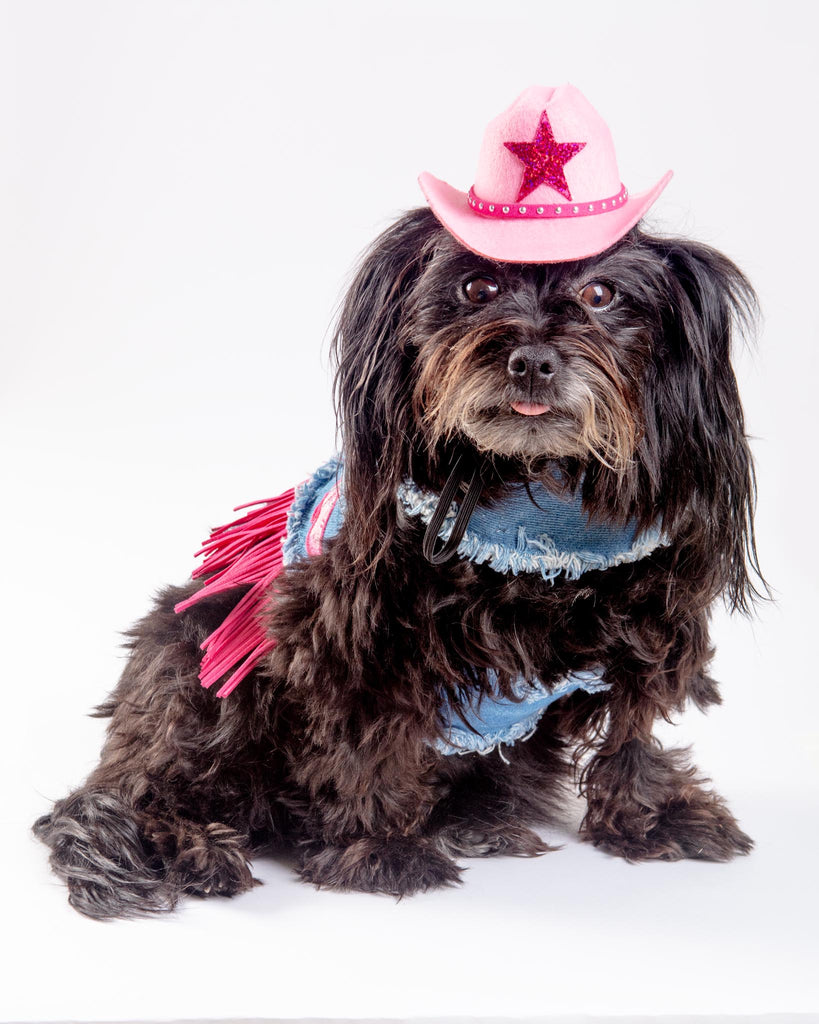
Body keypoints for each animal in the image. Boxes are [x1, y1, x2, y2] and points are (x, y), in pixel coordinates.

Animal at [33, 88, 761, 921]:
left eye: (602, 294)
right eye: (476, 288)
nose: (531, 360)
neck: (530, 499)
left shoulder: (642, 625)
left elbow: (632, 731)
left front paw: (651, 818)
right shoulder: (354, 632)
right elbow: (364, 740)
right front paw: (374, 847)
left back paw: (482, 814)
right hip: (194, 666)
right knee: (140, 792)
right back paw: (193, 846)